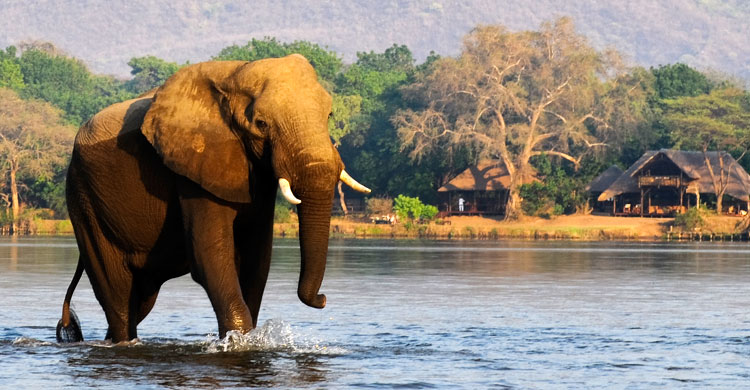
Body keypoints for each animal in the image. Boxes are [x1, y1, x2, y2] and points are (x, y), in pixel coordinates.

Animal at [54, 55, 372, 344]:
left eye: (329, 116)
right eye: (261, 123)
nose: (323, 299)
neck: (234, 74)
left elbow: (257, 259)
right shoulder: (192, 169)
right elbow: (211, 256)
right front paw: (237, 341)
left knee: (140, 299)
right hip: (83, 200)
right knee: (118, 296)